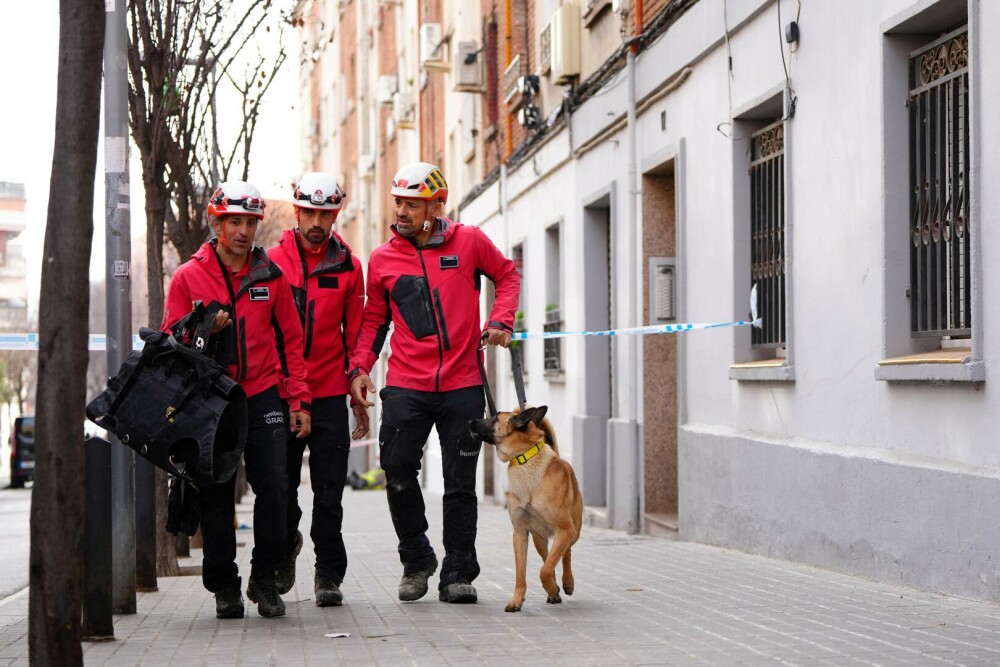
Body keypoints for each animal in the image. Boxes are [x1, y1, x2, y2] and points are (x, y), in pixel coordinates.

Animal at [470, 404, 584, 612]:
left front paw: (553, 587)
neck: (525, 460)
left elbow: (544, 570)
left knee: (565, 554)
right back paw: (554, 590)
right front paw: (517, 600)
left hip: (573, 532)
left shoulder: (564, 530)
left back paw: (567, 582)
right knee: (548, 557)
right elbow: (523, 573)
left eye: (495, 417)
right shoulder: (520, 533)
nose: (469, 421)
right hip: (540, 539)